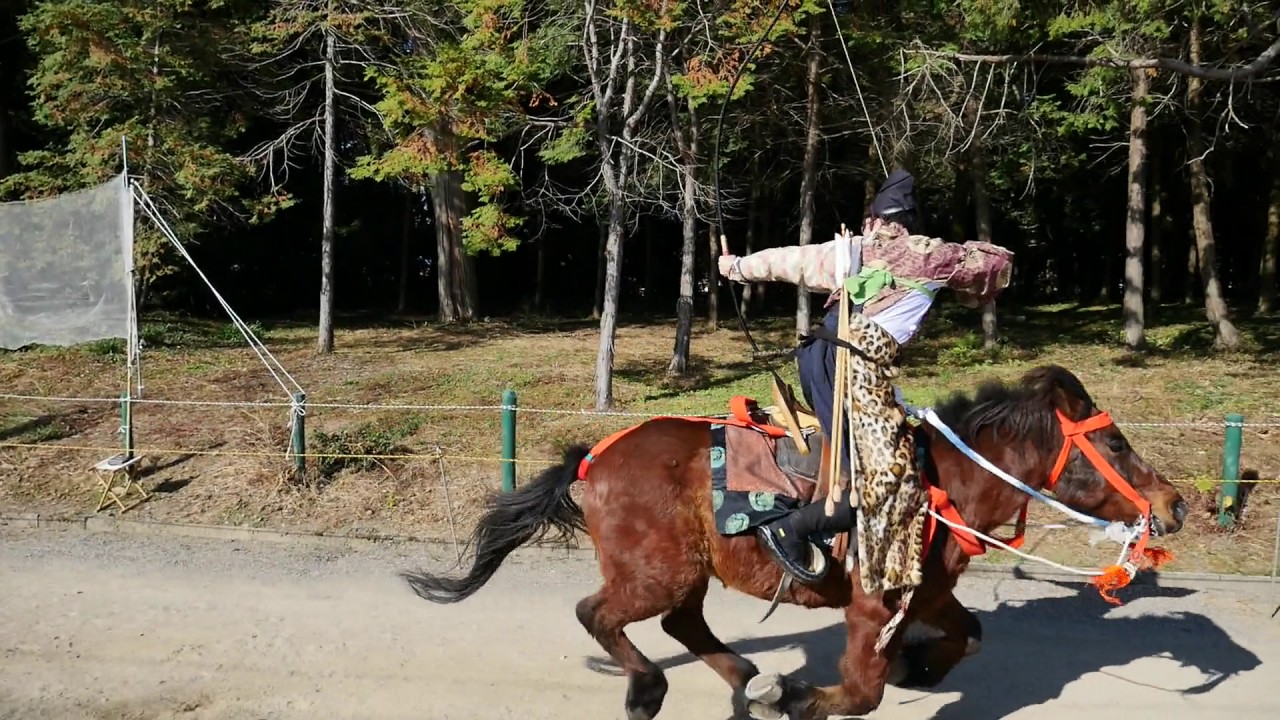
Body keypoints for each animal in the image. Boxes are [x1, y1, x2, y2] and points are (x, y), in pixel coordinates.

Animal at [400, 365, 1187, 720]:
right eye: (1116, 443)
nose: (1175, 504)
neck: (942, 481)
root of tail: (595, 457)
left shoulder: (928, 591)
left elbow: (970, 635)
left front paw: (920, 668)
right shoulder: (873, 606)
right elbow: (862, 691)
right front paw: (805, 696)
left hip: (685, 570)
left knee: (682, 624)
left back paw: (748, 681)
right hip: (655, 569)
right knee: (601, 615)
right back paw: (654, 689)